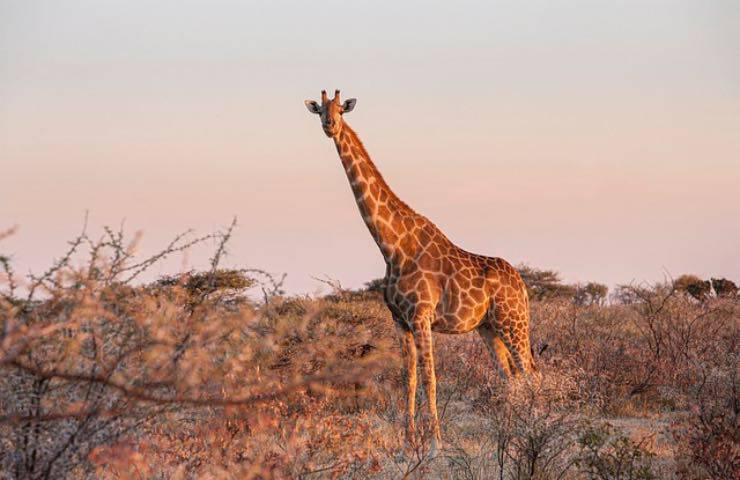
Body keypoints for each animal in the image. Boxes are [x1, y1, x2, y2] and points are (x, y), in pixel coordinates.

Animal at [305, 90, 536, 454]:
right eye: (320, 111)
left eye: (341, 109)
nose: (330, 125)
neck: (392, 245)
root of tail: (523, 285)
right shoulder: (400, 319)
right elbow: (408, 377)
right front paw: (407, 442)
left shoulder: (422, 316)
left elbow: (430, 377)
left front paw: (435, 444)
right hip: (489, 328)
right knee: (509, 377)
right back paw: (510, 439)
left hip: (513, 323)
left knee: (530, 374)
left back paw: (535, 430)